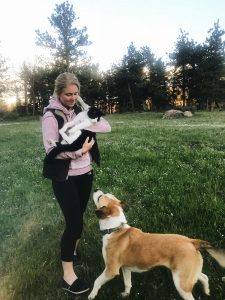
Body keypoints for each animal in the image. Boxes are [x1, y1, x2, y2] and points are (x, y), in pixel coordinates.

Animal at [88, 190, 225, 300]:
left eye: (99, 197)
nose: (95, 189)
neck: (115, 229)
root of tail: (192, 241)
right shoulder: (125, 267)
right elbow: (128, 283)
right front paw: (126, 294)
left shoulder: (111, 270)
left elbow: (96, 281)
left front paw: (92, 295)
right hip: (188, 274)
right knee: (204, 277)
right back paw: (207, 291)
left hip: (181, 282)